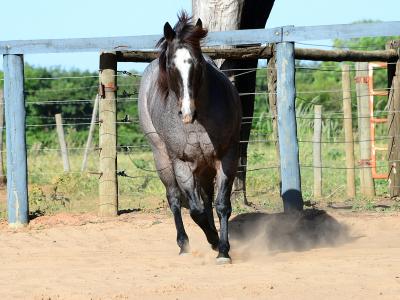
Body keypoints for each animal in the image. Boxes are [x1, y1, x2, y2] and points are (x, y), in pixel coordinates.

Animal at [138, 11, 241, 262]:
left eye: (198, 62)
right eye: (171, 66)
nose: (186, 113)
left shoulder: (226, 156)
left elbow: (221, 205)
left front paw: (222, 250)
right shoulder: (182, 164)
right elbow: (196, 211)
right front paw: (213, 241)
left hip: (204, 165)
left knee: (206, 198)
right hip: (163, 159)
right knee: (175, 198)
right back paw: (183, 245)